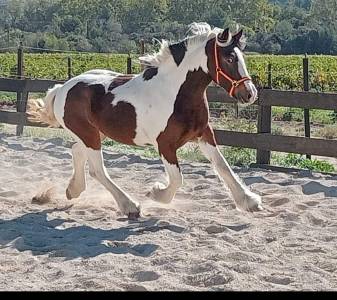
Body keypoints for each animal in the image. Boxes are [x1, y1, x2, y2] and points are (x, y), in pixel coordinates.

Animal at [28, 21, 260, 218]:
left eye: (242, 57)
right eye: (229, 58)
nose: (250, 94)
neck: (175, 93)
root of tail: (62, 88)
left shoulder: (204, 134)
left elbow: (222, 166)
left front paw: (249, 201)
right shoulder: (165, 144)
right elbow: (177, 178)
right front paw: (156, 193)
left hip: (95, 133)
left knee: (77, 151)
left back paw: (73, 190)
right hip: (89, 135)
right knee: (97, 170)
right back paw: (130, 206)